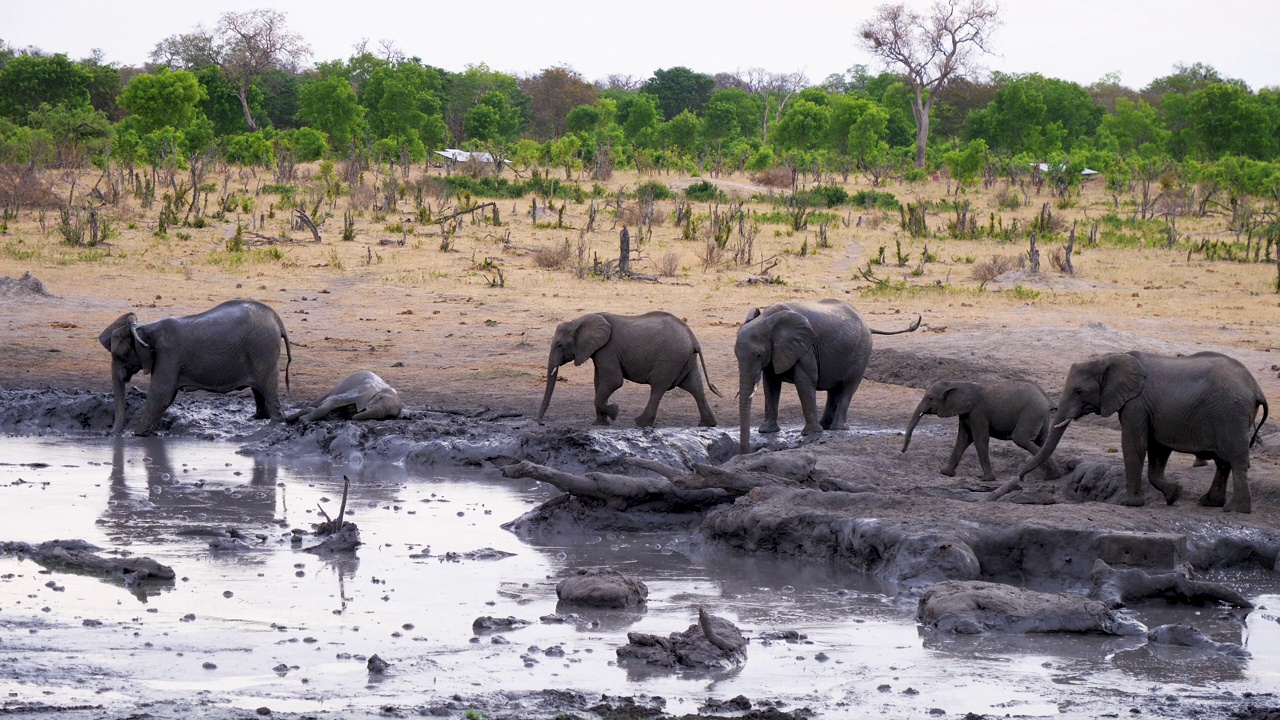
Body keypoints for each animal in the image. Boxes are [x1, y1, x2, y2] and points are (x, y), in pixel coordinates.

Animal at [98, 299, 293, 435]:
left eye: (120, 356)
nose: (111, 434)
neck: (143, 329)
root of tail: (276, 319)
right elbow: (165, 397)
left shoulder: (168, 356)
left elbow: (160, 395)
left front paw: (137, 435)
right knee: (259, 390)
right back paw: (257, 419)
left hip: (262, 349)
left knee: (267, 387)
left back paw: (274, 426)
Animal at [537, 310, 727, 425]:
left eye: (559, 345)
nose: (541, 423)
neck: (580, 320)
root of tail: (693, 339)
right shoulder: (599, 352)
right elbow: (598, 381)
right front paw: (600, 423)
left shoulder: (608, 349)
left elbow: (613, 381)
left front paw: (614, 412)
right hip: (685, 359)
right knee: (695, 387)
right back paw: (708, 424)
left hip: (670, 359)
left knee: (658, 388)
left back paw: (640, 423)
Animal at [732, 298, 921, 453]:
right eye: (736, 355)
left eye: (758, 355)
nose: (744, 452)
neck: (767, 319)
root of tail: (868, 325)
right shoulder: (777, 352)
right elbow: (770, 384)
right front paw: (766, 431)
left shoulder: (805, 348)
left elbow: (805, 380)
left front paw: (811, 433)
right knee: (834, 390)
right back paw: (826, 426)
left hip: (861, 354)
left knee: (848, 387)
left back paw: (838, 428)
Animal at [901, 376, 1059, 481]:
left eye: (930, 398)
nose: (902, 451)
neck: (958, 384)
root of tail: (1047, 400)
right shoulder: (966, 412)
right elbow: (963, 439)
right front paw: (945, 473)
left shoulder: (978, 412)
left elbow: (979, 439)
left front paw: (987, 479)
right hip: (1040, 416)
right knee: (1042, 441)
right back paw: (1053, 476)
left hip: (1031, 413)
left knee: (1021, 439)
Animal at [1018, 351, 1269, 512]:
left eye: (1079, 392)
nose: (1019, 478)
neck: (1109, 359)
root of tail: (1256, 388)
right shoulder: (1151, 410)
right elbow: (1158, 448)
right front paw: (1174, 494)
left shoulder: (1136, 404)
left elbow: (1134, 445)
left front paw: (1129, 504)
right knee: (1223, 461)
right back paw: (1209, 503)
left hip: (1230, 414)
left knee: (1235, 459)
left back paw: (1236, 509)